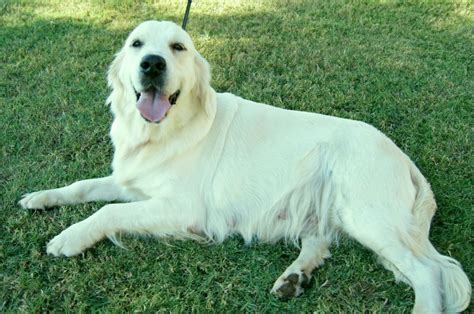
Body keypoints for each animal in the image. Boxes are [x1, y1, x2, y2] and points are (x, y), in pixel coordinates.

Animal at [19, 21, 470, 312]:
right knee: (320, 242)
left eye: (178, 48)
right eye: (136, 44)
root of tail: (404, 158)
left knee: (428, 273)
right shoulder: (131, 181)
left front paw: (69, 237)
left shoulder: (183, 210)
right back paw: (294, 278)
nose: (152, 64)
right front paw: (41, 198)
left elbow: (107, 211)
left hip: (365, 213)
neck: (167, 130)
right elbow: (83, 187)